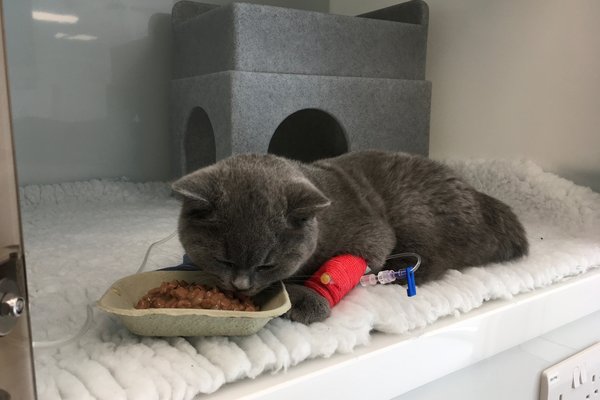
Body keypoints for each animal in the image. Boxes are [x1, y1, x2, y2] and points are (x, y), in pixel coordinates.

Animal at [171, 152, 528, 324]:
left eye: (266, 265)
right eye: (223, 259)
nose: (240, 286)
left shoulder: (371, 232)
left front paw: (306, 299)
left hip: (414, 213)